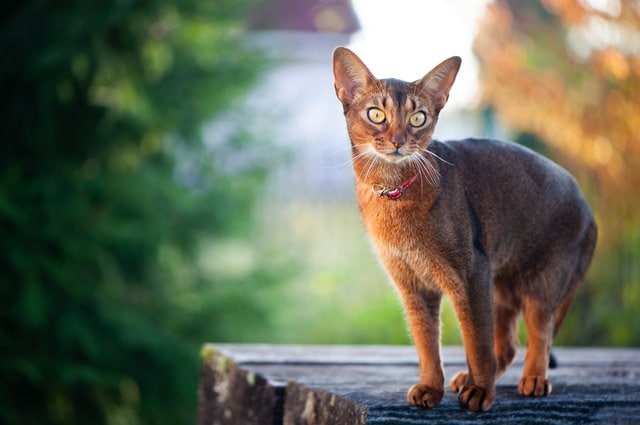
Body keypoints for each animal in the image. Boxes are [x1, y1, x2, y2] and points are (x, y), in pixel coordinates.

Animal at [332, 46, 596, 410]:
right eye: (376, 114)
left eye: (418, 118)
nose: (399, 141)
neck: (395, 192)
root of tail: (589, 209)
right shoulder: (412, 285)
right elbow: (426, 343)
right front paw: (431, 387)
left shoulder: (470, 273)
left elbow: (477, 343)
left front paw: (481, 391)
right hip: (500, 285)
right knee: (509, 343)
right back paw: (467, 379)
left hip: (542, 281)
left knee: (539, 332)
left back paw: (533, 378)